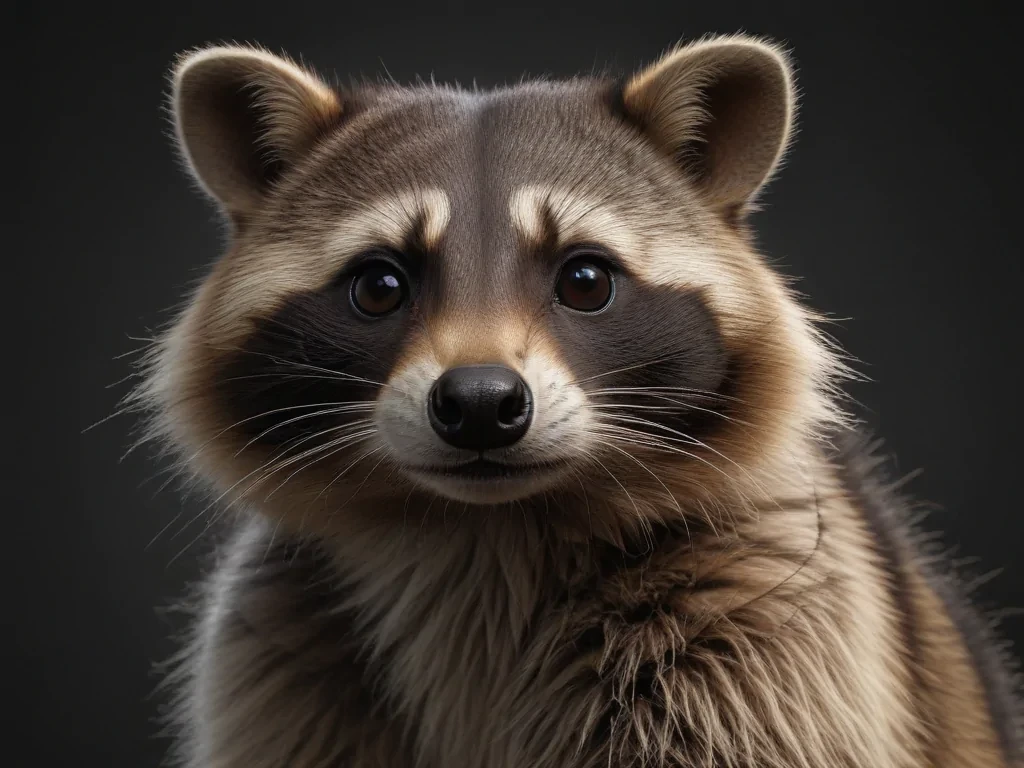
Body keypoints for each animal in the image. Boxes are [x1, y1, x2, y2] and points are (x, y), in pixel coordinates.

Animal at [136, 35, 1023, 767]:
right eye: (380, 286)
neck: (485, 533)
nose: (480, 403)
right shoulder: (281, 659)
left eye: (586, 279)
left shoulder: (764, 630)